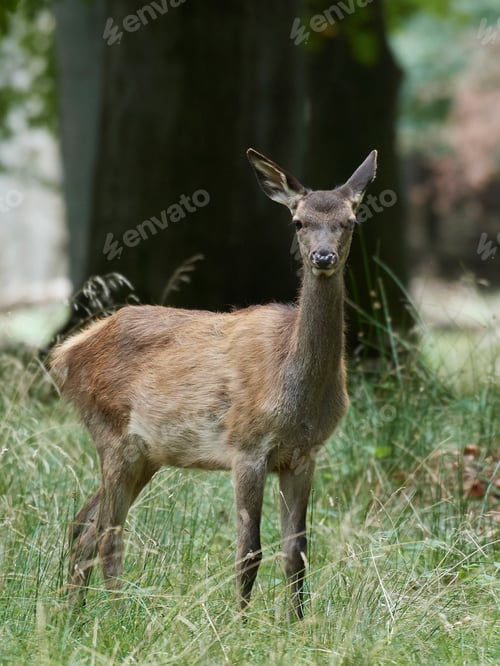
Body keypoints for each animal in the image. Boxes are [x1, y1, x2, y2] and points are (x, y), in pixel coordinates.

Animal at [49, 147, 377, 619]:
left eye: (350, 221)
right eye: (298, 221)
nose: (322, 258)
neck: (295, 393)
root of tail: (63, 355)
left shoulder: (304, 455)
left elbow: (296, 552)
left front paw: (298, 624)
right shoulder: (246, 446)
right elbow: (249, 551)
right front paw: (239, 624)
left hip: (145, 453)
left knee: (83, 526)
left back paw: (73, 616)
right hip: (111, 433)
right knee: (108, 533)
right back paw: (115, 616)